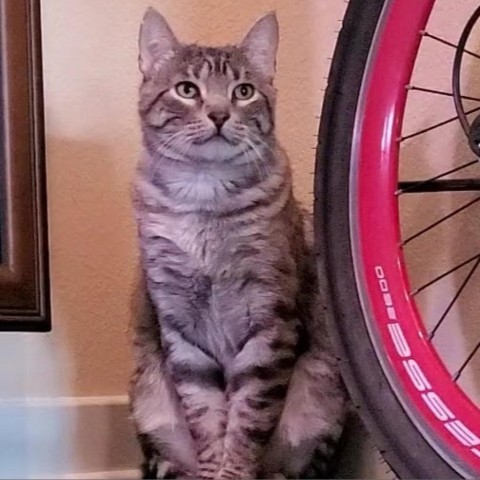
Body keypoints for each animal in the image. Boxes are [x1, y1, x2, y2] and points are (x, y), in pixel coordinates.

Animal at [128, 7, 344, 480]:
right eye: (187, 89)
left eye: (243, 91)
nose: (219, 114)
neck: (204, 198)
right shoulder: (180, 326)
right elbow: (207, 418)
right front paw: (213, 469)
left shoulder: (269, 321)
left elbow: (247, 418)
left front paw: (234, 468)